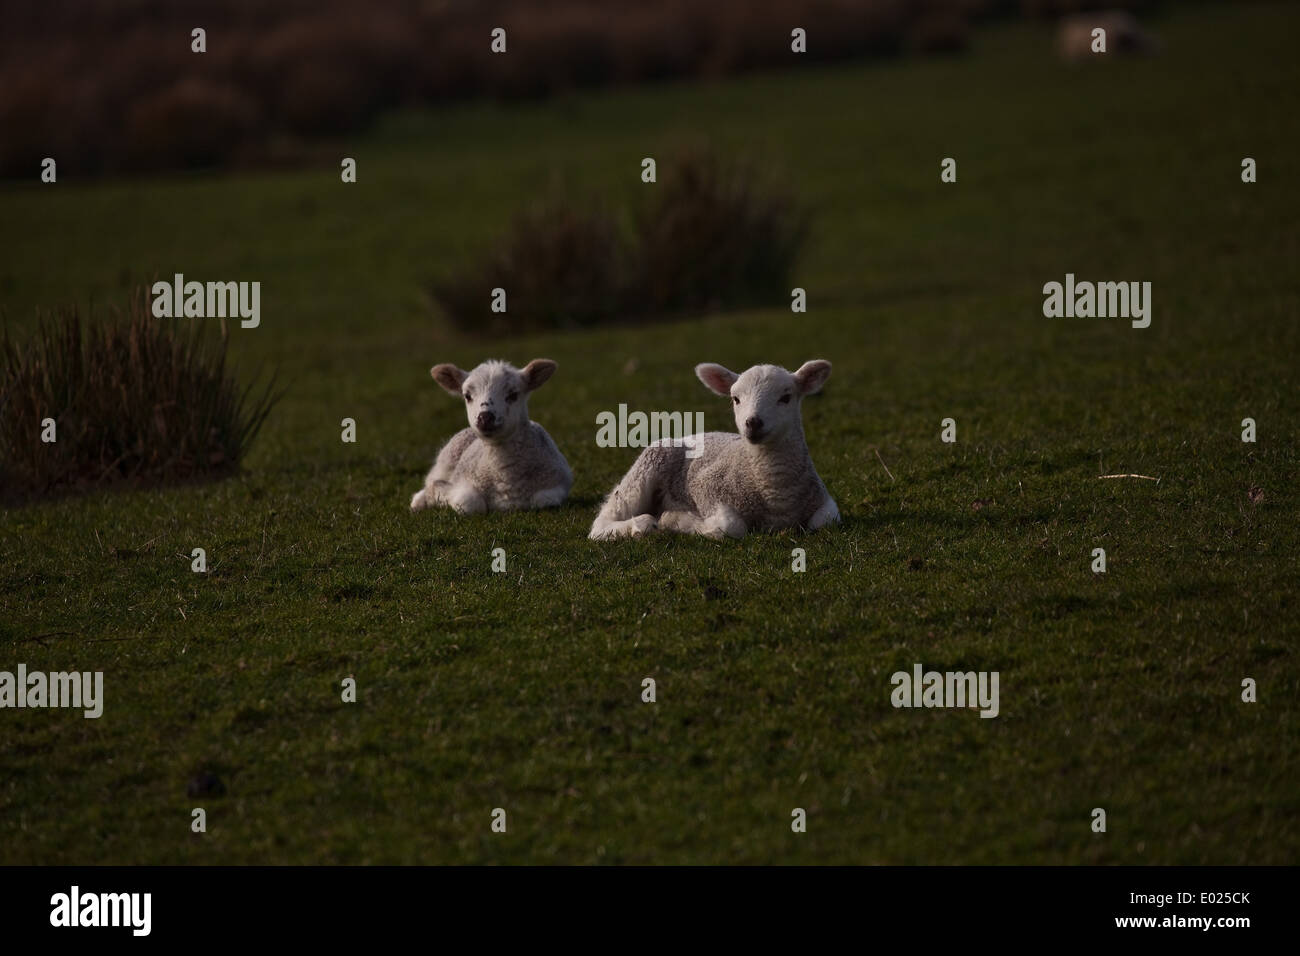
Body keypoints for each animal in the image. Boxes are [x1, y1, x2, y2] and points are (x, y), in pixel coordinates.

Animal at [405, 356, 569, 515]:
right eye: (467, 396)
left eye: (513, 395)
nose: (485, 417)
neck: (505, 478)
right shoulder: (464, 482)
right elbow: (470, 503)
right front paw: (442, 495)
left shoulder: (556, 485)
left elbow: (543, 501)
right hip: (445, 461)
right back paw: (420, 501)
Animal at [592, 358, 842, 538]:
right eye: (735, 399)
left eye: (786, 397)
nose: (753, 423)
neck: (774, 494)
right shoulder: (706, 488)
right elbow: (731, 526)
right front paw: (674, 519)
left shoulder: (823, 500)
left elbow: (826, 521)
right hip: (650, 462)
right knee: (602, 522)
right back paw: (640, 524)